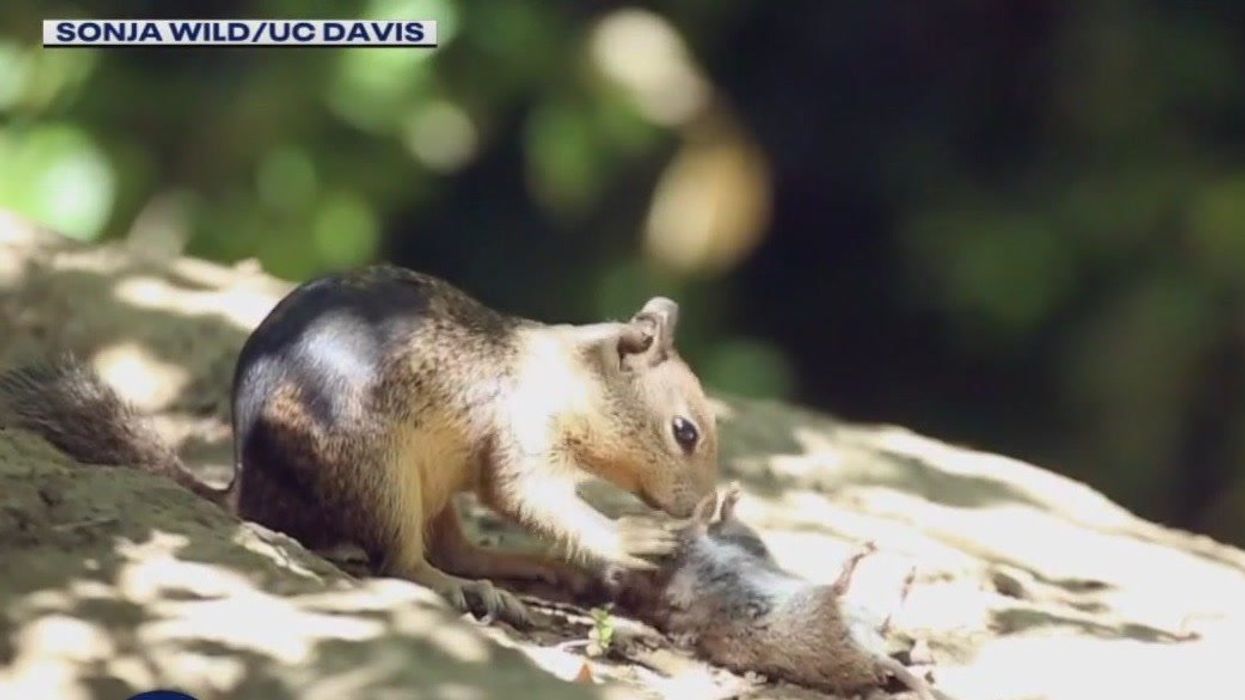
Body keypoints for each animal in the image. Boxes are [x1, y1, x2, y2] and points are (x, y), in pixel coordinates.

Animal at [0, 264, 719, 626]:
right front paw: (630, 537)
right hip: (379, 474)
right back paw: (468, 589)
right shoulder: (523, 430)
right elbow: (525, 492)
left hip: (429, 485)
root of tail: (245, 492)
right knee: (405, 562)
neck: (567, 374)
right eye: (684, 431)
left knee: (454, 546)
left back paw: (526, 566)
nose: (703, 508)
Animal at [609, 484, 937, 700]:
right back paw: (863, 558)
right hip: (820, 605)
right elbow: (697, 527)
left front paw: (724, 499)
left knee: (887, 618)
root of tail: (872, 656)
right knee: (841, 588)